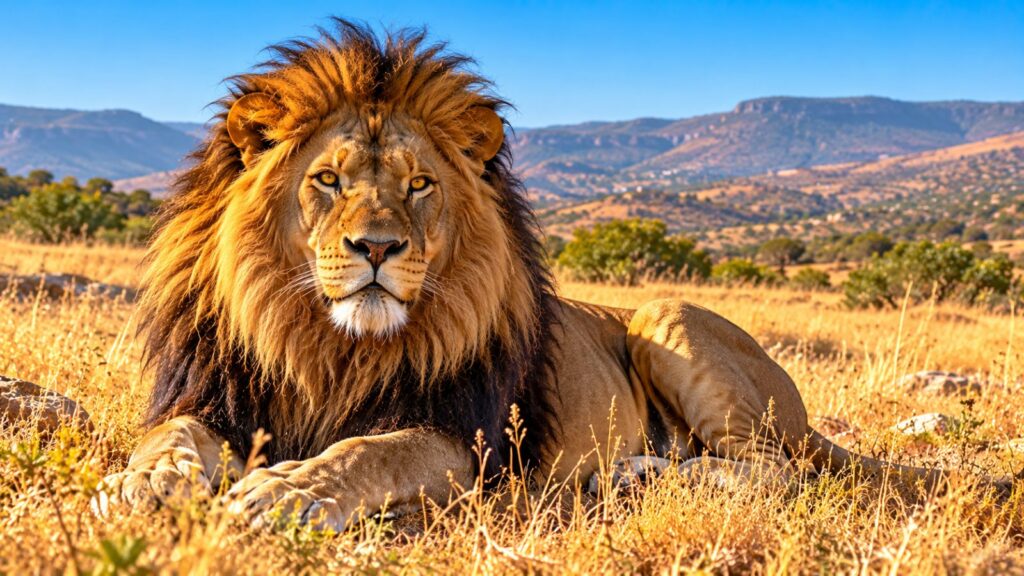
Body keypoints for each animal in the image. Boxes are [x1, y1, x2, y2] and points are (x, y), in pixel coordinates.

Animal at [94, 21, 984, 529]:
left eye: (421, 184)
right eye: (329, 180)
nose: (378, 248)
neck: (328, 347)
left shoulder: (466, 440)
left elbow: (370, 451)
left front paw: (285, 493)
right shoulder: (212, 394)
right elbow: (170, 438)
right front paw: (142, 487)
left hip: (667, 317)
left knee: (778, 471)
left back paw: (645, 476)